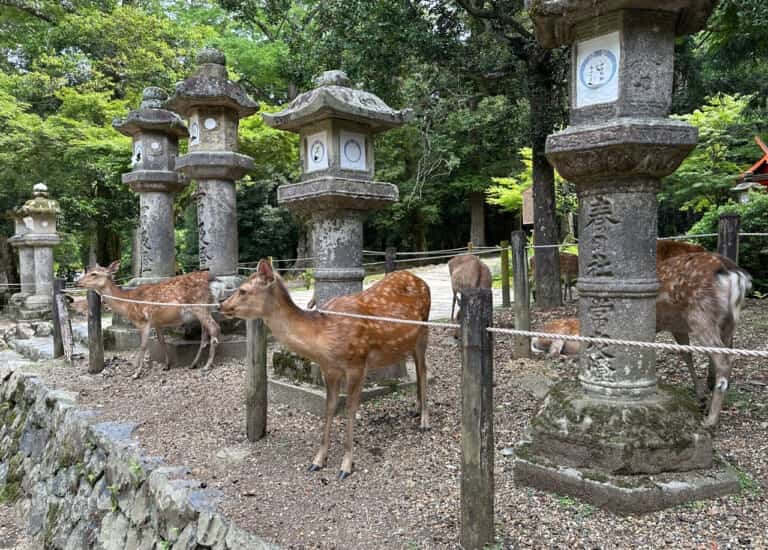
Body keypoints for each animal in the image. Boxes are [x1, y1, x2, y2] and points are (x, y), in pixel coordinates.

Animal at [77, 261, 220, 379]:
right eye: (88, 271)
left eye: (94, 274)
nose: (77, 282)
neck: (127, 305)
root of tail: (213, 281)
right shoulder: (157, 322)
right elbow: (161, 341)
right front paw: (166, 365)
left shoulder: (143, 321)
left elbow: (143, 345)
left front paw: (136, 373)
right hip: (205, 309)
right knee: (204, 337)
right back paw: (193, 364)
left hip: (200, 305)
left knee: (215, 328)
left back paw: (207, 366)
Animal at [220, 259, 431, 479]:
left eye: (243, 290)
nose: (221, 305)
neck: (324, 338)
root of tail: (420, 280)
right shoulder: (329, 369)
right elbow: (329, 408)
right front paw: (318, 460)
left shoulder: (357, 362)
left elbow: (350, 409)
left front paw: (346, 466)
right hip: (409, 341)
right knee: (419, 368)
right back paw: (417, 409)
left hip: (424, 330)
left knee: (424, 369)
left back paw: (425, 420)